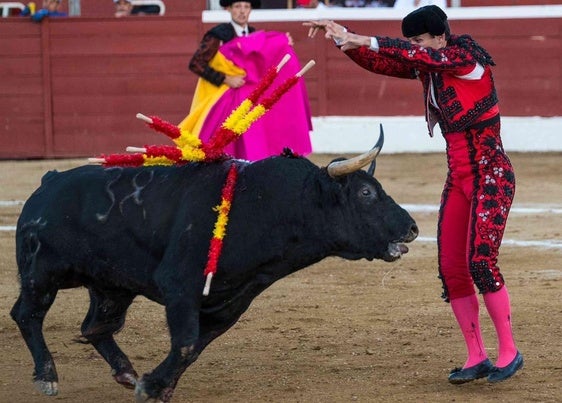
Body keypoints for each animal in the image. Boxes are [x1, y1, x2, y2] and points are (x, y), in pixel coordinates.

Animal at [10, 139, 418, 400]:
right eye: (366, 193)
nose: (412, 228)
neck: (268, 204)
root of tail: (49, 181)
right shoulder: (179, 286)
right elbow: (187, 342)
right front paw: (152, 387)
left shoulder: (231, 301)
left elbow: (194, 347)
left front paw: (156, 385)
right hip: (41, 274)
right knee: (27, 315)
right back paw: (47, 376)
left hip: (113, 287)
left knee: (95, 327)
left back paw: (126, 372)